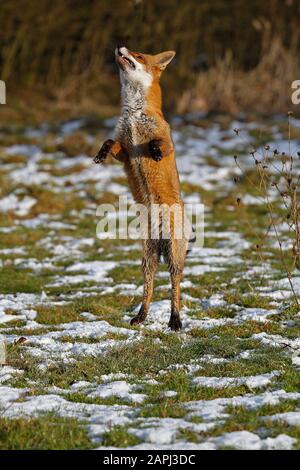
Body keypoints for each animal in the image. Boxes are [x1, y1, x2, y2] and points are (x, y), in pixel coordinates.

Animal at [94, 46, 190, 328]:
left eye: (138, 55)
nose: (119, 47)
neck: (134, 116)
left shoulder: (167, 139)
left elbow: (160, 144)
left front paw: (155, 151)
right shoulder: (125, 151)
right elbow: (110, 142)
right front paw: (100, 154)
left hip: (173, 255)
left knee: (175, 286)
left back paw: (175, 320)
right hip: (148, 257)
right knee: (149, 287)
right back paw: (141, 315)